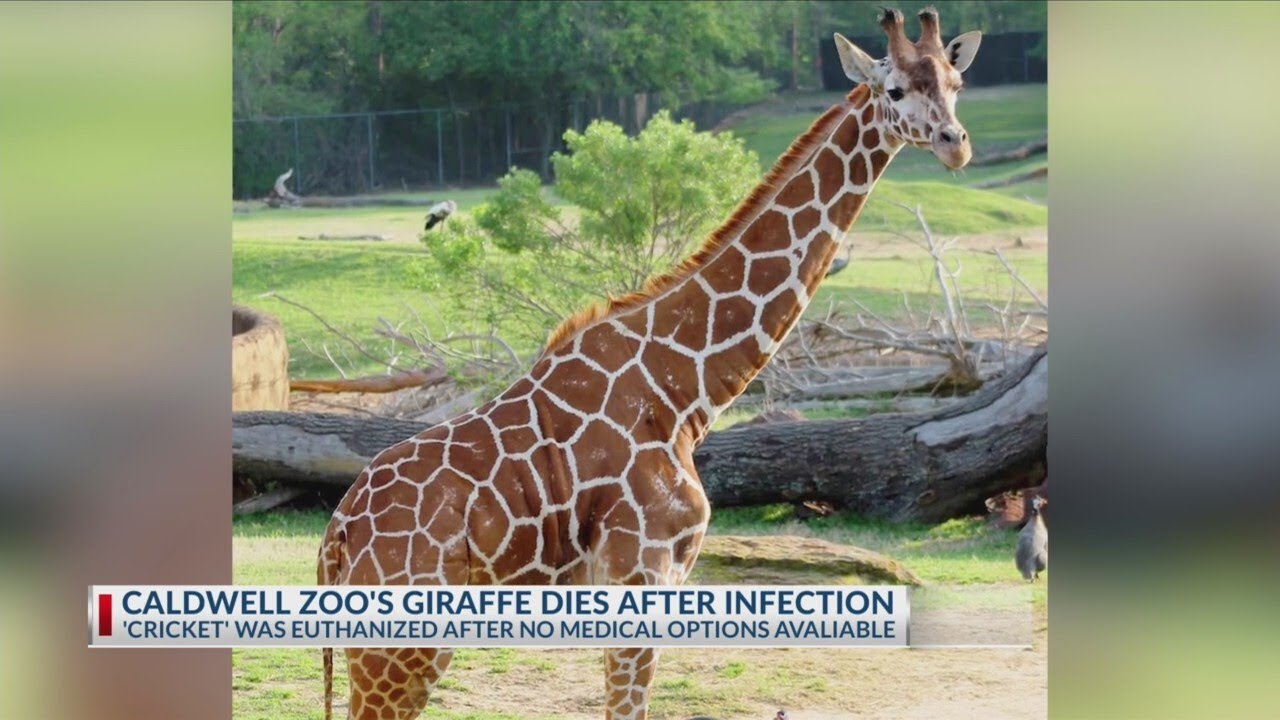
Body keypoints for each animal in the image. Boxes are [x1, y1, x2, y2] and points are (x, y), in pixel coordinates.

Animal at [319, 7, 982, 719]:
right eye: (894, 90)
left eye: (955, 84)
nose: (955, 144)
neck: (686, 390)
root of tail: (335, 537)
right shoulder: (641, 566)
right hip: (404, 645)